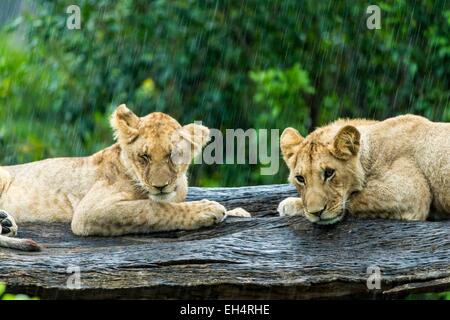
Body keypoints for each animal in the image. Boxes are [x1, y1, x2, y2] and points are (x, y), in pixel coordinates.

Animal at [0, 106, 248, 251]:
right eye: (144, 157)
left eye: (173, 155)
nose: (160, 186)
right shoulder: (89, 211)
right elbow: (152, 209)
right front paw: (207, 209)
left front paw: (238, 212)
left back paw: (6, 223)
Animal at [280, 115, 448, 225]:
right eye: (300, 178)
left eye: (329, 173)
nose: (316, 212)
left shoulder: (411, 193)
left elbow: (356, 198)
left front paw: (289, 205)